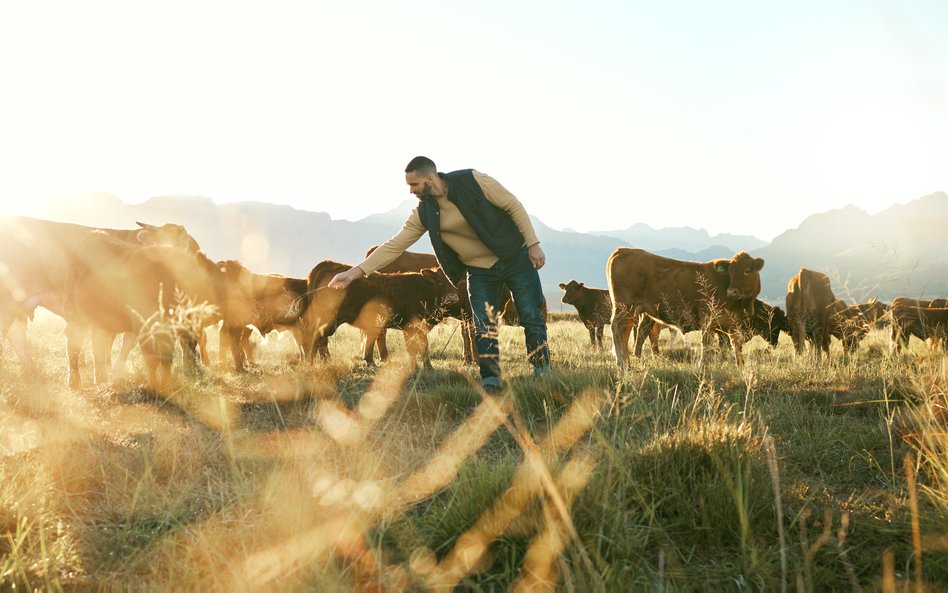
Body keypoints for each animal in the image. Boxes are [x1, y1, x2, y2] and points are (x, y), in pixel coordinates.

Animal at [306, 262, 450, 368]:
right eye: (440, 282)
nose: (451, 296)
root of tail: (329, 263)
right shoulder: (413, 325)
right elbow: (420, 346)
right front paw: (425, 368)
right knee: (317, 339)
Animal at [612, 246, 768, 366]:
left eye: (747, 270)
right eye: (730, 272)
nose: (731, 292)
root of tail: (622, 250)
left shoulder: (730, 325)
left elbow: (734, 346)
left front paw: (739, 366)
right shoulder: (708, 318)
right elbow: (707, 342)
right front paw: (702, 366)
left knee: (635, 332)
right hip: (624, 307)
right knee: (620, 330)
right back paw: (623, 362)